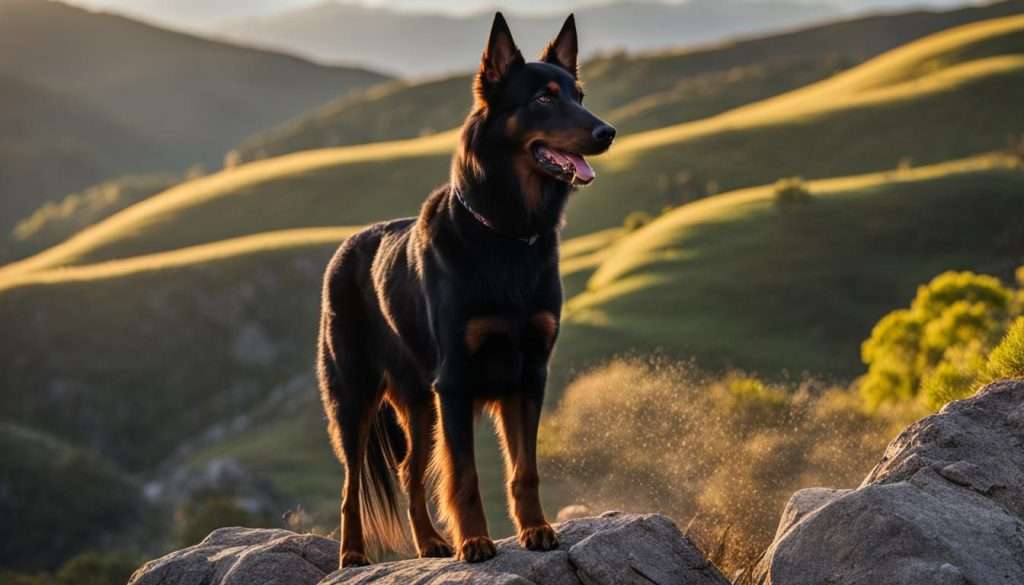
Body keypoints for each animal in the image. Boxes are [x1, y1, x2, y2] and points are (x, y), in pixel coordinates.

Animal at [315, 11, 610, 565]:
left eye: (579, 95)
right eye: (544, 99)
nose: (608, 132)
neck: (507, 234)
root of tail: (345, 248)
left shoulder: (528, 375)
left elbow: (525, 469)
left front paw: (535, 529)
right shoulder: (455, 382)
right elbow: (466, 476)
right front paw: (474, 541)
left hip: (419, 403)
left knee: (409, 470)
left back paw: (430, 541)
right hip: (355, 398)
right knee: (349, 486)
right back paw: (354, 554)